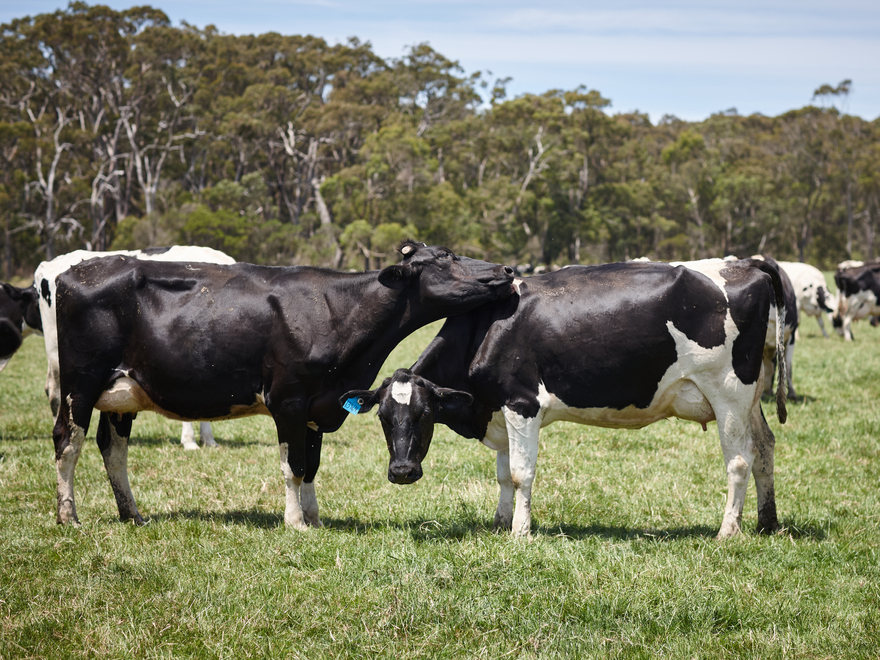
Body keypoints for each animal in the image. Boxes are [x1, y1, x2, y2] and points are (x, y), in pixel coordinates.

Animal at [342, 258, 787, 539]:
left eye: (423, 414)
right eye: (383, 418)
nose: (402, 471)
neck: (486, 329)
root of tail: (745, 264)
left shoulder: (522, 404)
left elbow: (521, 473)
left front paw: (520, 532)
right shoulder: (500, 410)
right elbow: (502, 475)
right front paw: (501, 522)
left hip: (728, 392)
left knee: (739, 461)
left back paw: (728, 531)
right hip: (750, 399)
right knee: (765, 448)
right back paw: (767, 523)